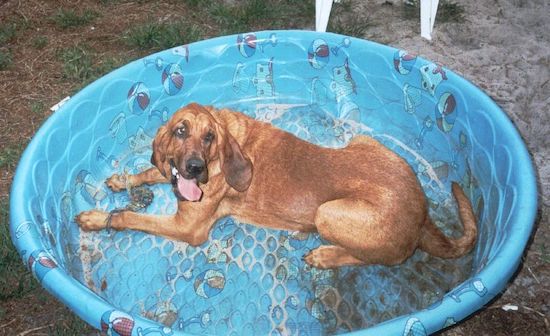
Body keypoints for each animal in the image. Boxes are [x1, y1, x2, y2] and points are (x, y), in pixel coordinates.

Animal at [77, 103, 478, 270]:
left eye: (209, 138)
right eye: (180, 131)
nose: (195, 168)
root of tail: (423, 214)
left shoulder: (187, 227)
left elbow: (129, 218)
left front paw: (99, 218)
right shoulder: (175, 177)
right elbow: (152, 172)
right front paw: (124, 180)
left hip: (328, 212)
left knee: (385, 258)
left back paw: (325, 255)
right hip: (362, 142)